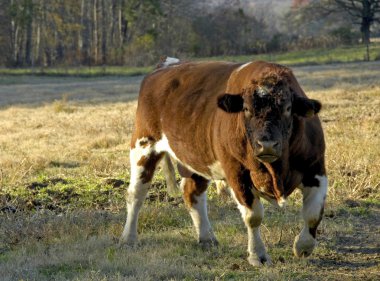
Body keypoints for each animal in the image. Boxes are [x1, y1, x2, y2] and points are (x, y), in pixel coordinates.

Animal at [121, 57, 326, 264]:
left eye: (288, 109)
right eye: (246, 109)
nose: (266, 144)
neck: (275, 171)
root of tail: (166, 65)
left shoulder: (316, 169)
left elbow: (313, 213)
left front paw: (303, 247)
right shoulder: (237, 173)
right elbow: (254, 216)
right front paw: (257, 254)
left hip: (196, 158)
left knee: (192, 193)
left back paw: (207, 238)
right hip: (143, 146)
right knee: (136, 194)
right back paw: (128, 238)